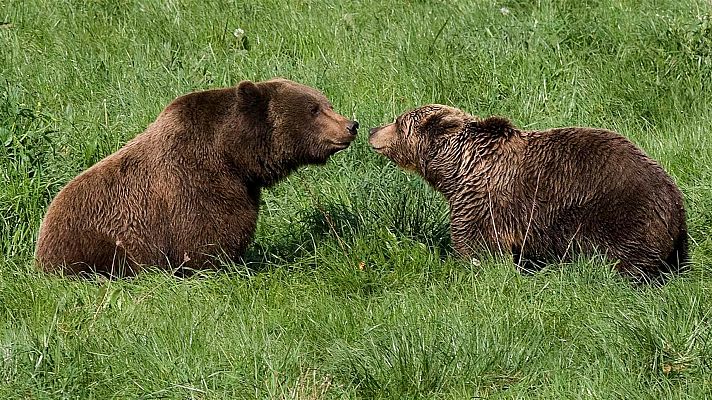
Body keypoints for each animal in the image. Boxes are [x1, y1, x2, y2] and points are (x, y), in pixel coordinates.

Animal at [36, 78, 358, 278]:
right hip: (97, 241)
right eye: (314, 109)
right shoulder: (193, 182)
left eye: (326, 103)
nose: (351, 125)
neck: (231, 156)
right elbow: (208, 236)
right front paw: (224, 266)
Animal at [370, 104, 688, 282]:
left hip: (622, 216)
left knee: (626, 261)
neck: (458, 170)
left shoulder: (483, 204)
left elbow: (477, 247)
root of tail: (676, 200)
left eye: (398, 122)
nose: (372, 129)